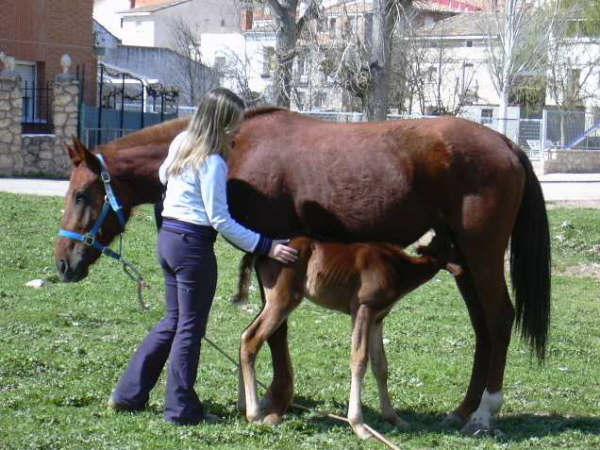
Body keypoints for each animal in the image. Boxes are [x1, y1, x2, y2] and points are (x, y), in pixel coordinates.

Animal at [239, 234, 460, 438]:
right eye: (451, 246)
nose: (461, 269)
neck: (398, 266)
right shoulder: (363, 309)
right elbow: (359, 359)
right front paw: (359, 425)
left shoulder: (378, 318)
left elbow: (381, 365)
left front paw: (394, 418)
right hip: (282, 301)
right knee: (251, 339)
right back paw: (254, 414)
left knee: (243, 336)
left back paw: (242, 405)